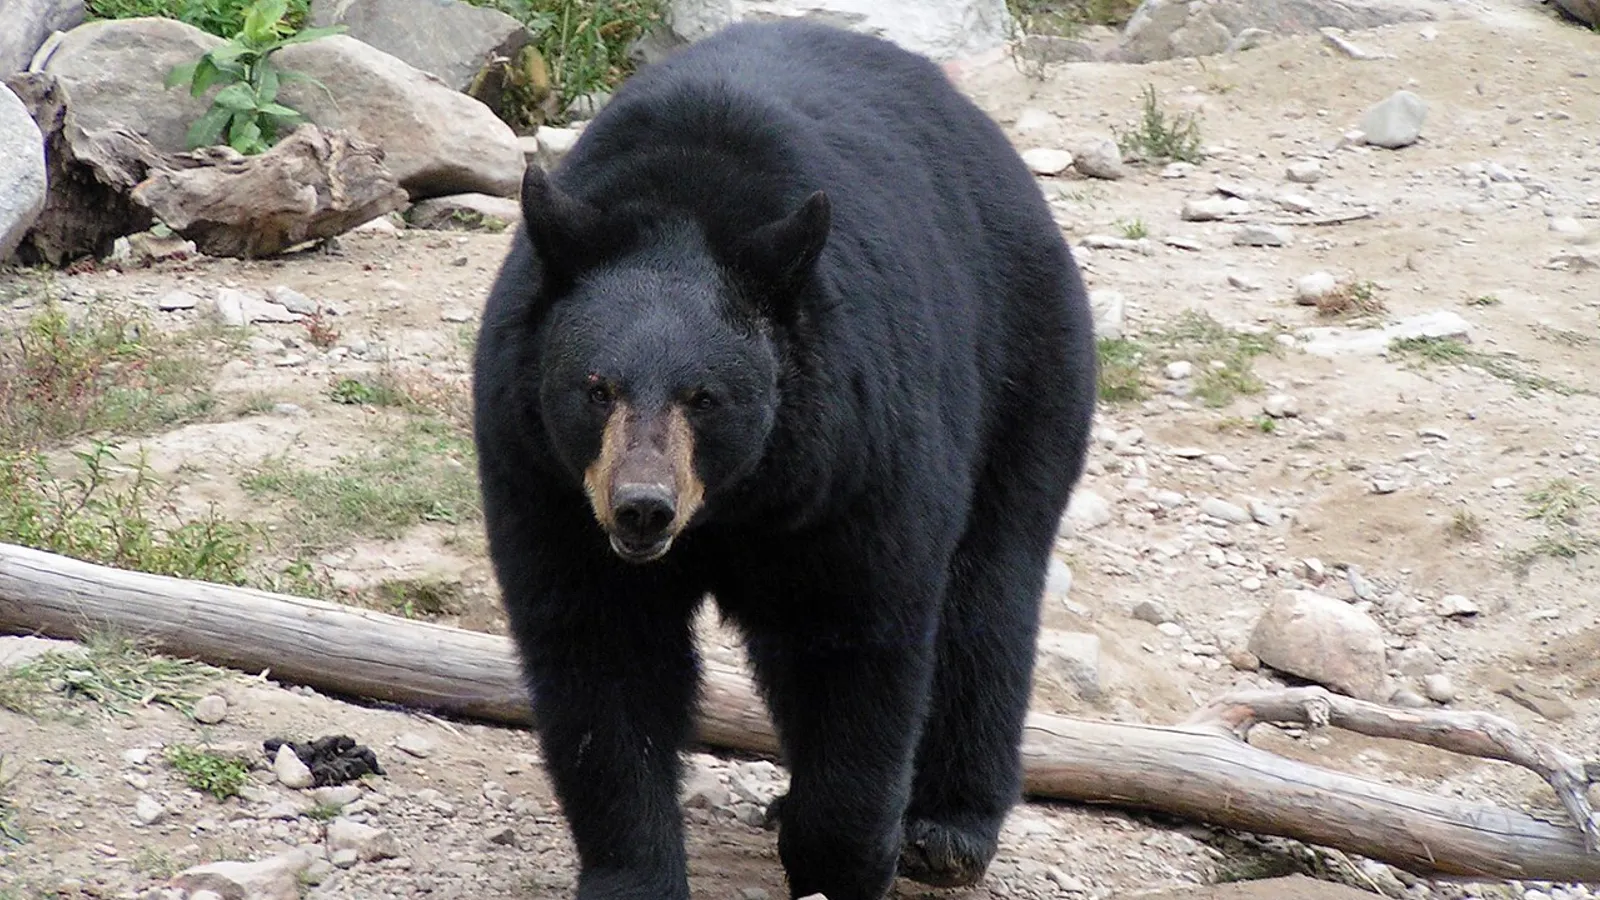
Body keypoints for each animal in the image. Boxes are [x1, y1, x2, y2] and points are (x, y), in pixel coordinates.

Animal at [471, 19, 1097, 900]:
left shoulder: (856, 460)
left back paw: (947, 826)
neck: (737, 500)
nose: (642, 507)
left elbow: (857, 640)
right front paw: (635, 872)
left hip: (1025, 363)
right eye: (595, 388)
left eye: (705, 396)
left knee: (989, 595)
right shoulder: (542, 476)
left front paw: (842, 860)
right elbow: (600, 655)